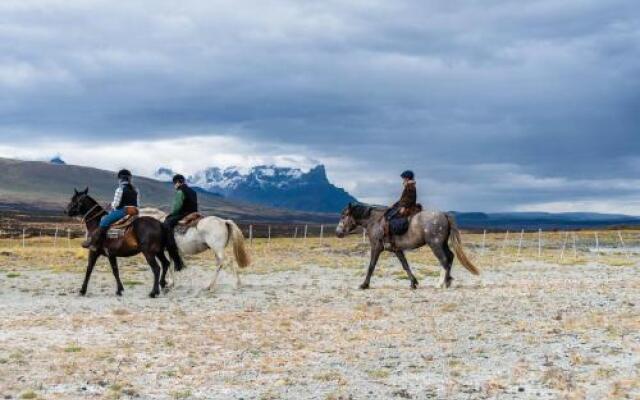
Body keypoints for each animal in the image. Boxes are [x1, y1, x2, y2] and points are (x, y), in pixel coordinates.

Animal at [336, 203, 480, 290]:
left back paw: (440, 284)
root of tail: (444, 214)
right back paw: (448, 282)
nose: (338, 232)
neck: (375, 222)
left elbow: (371, 266)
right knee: (450, 257)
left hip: (435, 244)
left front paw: (364, 285)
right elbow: (405, 265)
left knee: (444, 260)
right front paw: (413, 283)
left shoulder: (376, 247)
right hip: (442, 243)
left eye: (344, 215)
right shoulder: (397, 249)